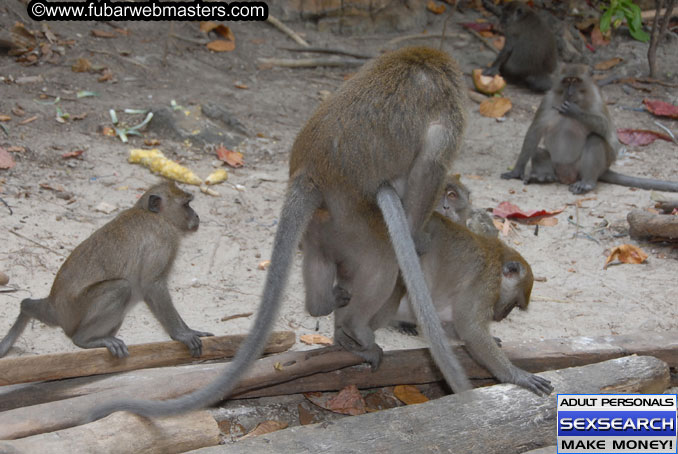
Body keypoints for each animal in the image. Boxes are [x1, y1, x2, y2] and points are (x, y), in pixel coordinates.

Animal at [0, 180, 212, 358]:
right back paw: (84, 340)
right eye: (186, 205)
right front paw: (182, 334)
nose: (196, 215)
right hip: (76, 311)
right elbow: (152, 285)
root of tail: (53, 306)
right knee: (122, 287)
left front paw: (189, 330)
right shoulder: (163, 238)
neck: (151, 214)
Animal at [89, 46, 472, 422]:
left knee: (322, 257)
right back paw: (356, 329)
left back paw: (326, 310)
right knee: (383, 262)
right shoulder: (447, 116)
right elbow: (430, 167)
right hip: (358, 221)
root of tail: (309, 172)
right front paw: (417, 234)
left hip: (326, 224)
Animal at [380, 213, 556, 398]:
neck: (498, 258)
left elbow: (453, 326)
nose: (503, 316)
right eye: (514, 303)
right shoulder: (485, 283)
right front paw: (517, 375)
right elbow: (470, 329)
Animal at [502, 63, 678, 193]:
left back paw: (587, 183)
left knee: (595, 139)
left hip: (586, 167)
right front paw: (517, 171)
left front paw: (574, 111)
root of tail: (566, 176)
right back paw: (544, 177)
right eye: (567, 80)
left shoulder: (597, 99)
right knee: (538, 151)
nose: (570, 91)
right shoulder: (547, 100)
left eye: (576, 81)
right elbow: (535, 131)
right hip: (557, 166)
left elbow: (605, 128)